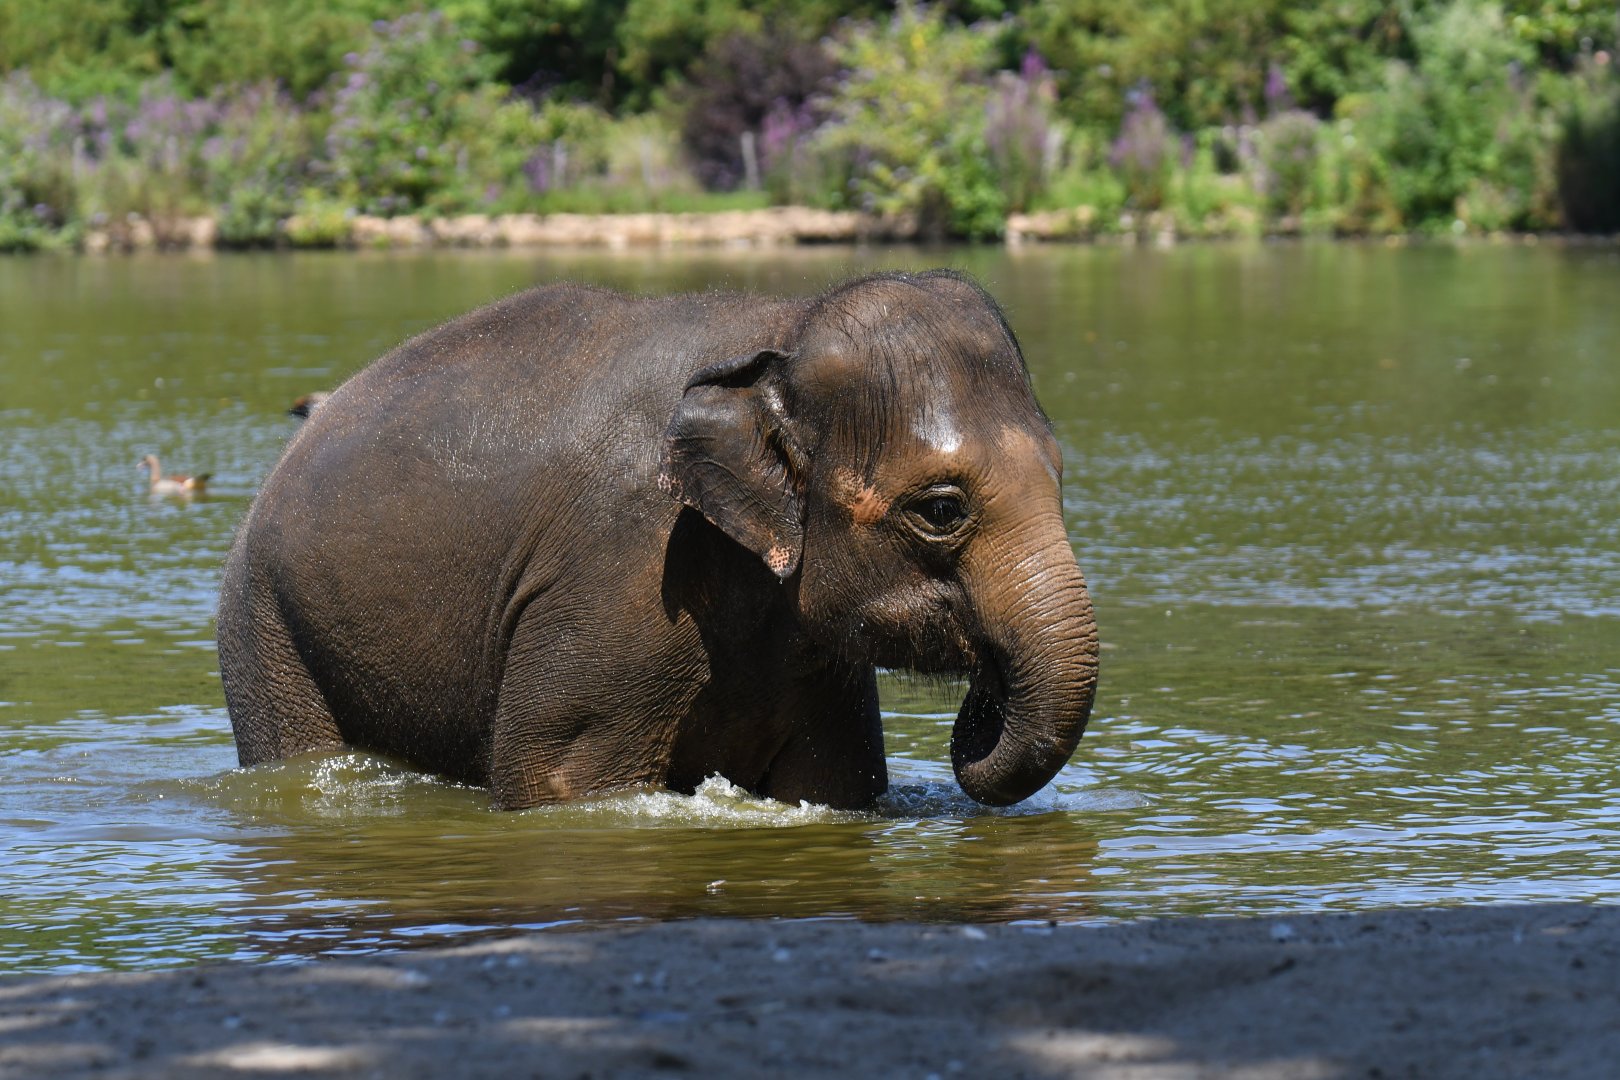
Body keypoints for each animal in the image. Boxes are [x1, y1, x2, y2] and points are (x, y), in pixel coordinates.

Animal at [216, 270, 1099, 810]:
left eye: (1062, 473)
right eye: (941, 509)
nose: (986, 691)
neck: (784, 324)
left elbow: (834, 778)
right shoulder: (620, 575)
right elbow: (562, 780)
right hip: (263, 624)